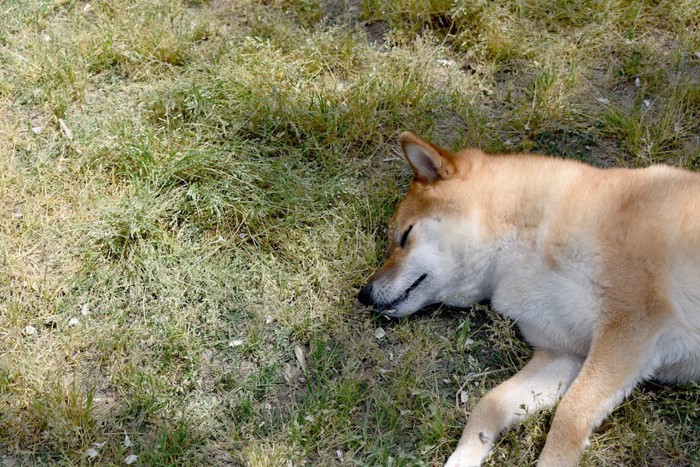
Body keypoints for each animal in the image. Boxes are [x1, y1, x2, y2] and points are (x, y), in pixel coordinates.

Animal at [358, 133, 700, 467]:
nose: (364, 294)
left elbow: (568, 416)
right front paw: (462, 458)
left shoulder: (630, 325)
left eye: (405, 236)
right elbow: (488, 405)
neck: (529, 243)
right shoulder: (564, 354)